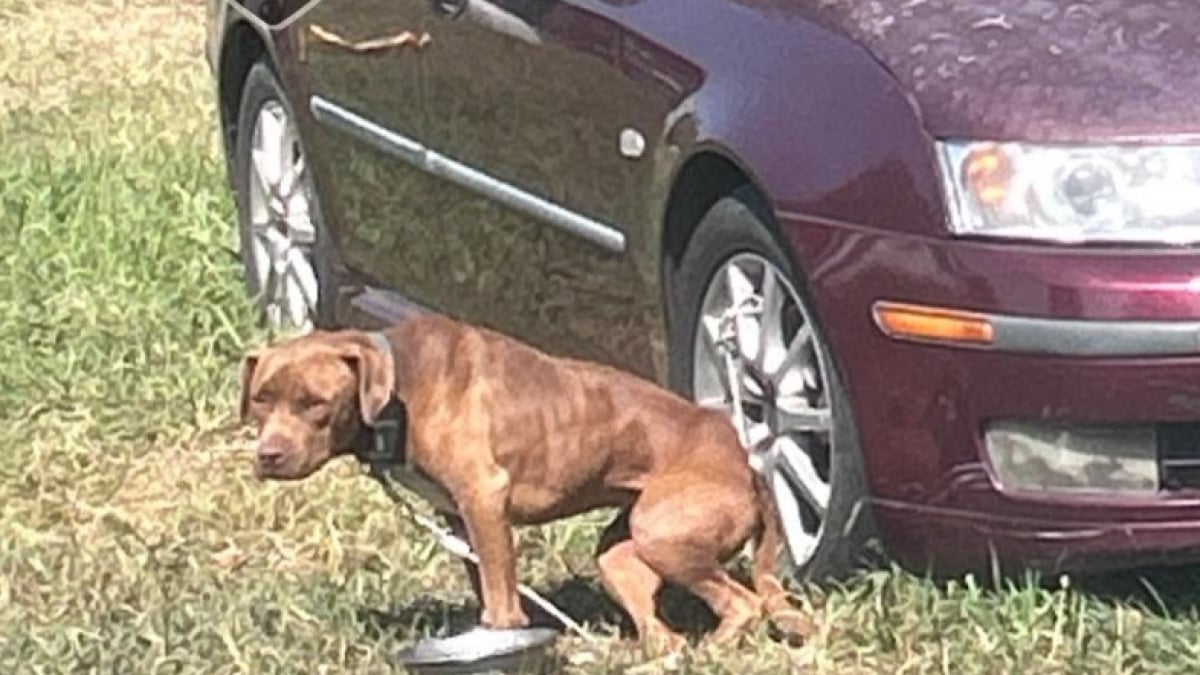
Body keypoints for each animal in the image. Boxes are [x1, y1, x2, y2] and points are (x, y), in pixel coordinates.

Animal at [238, 314, 811, 648]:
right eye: (261, 399)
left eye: (314, 403)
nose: (268, 455)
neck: (399, 383)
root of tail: (748, 463)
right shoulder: (460, 515)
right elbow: (485, 582)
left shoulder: (484, 496)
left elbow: (500, 589)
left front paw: (503, 633)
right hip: (621, 553)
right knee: (661, 630)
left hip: (662, 531)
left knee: (743, 603)